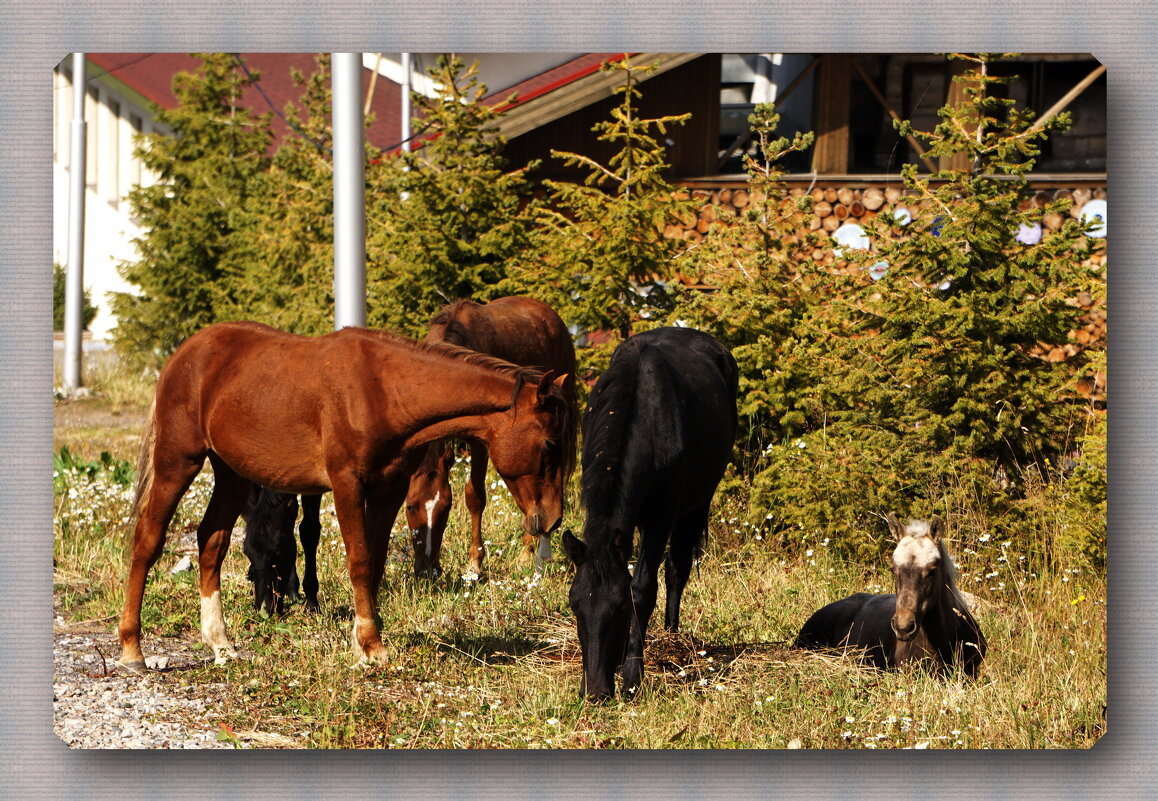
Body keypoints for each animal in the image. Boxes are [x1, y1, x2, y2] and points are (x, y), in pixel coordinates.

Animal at [407, 296, 579, 578]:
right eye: (410, 507)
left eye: (446, 508)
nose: (428, 570)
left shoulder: (480, 443)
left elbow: (475, 496)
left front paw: (475, 564)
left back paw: (532, 554)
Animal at [562, 328, 741, 699]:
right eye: (574, 604)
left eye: (619, 608)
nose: (595, 690)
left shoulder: (661, 518)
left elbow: (643, 588)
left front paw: (632, 674)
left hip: (697, 501)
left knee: (677, 567)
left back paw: (672, 635)